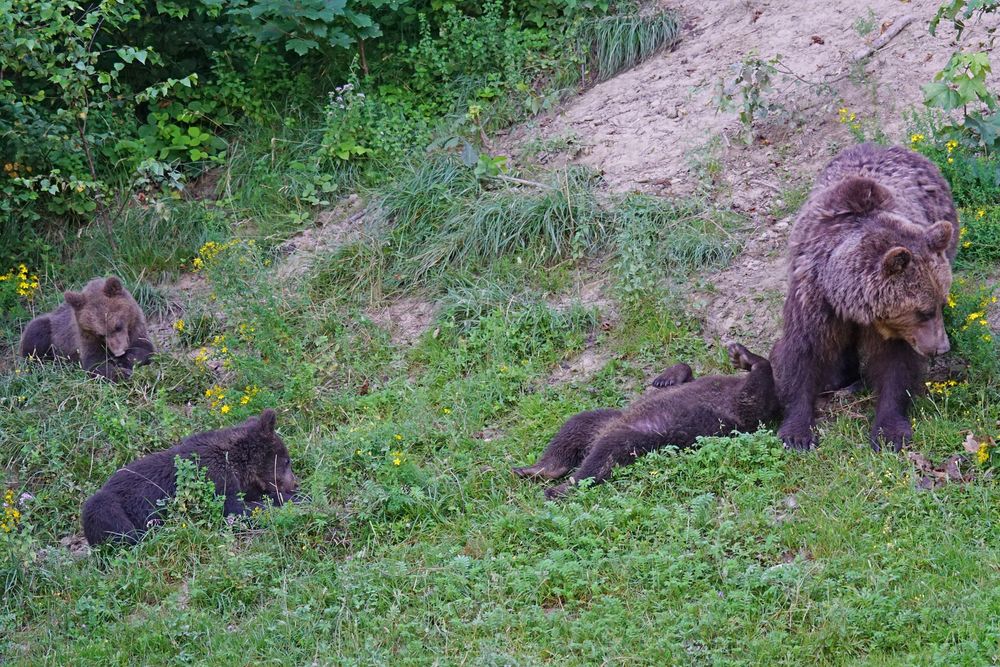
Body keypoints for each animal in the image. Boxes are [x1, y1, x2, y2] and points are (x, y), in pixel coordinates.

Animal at [768, 143, 956, 452]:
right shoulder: (814, 299)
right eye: (924, 311)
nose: (940, 348)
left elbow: (895, 366)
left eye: (941, 304)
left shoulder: (896, 329)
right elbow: (803, 352)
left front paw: (890, 431)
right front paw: (797, 432)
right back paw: (840, 376)